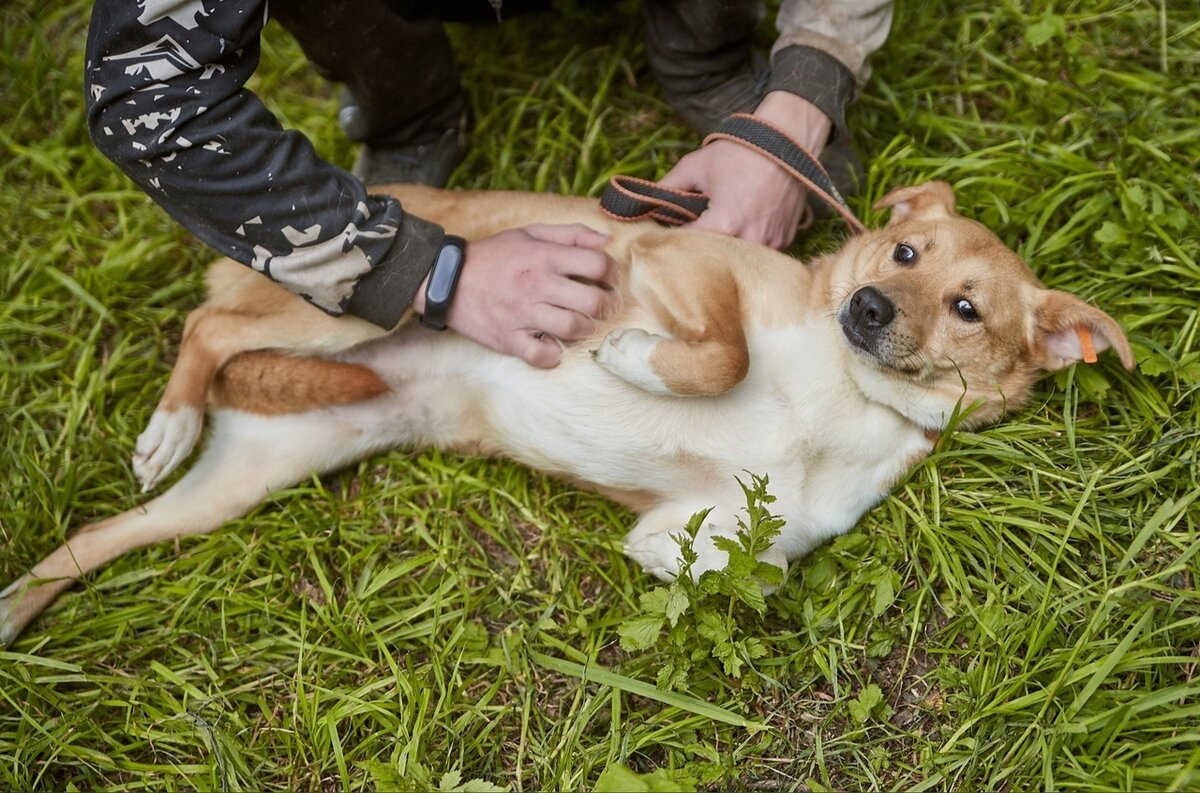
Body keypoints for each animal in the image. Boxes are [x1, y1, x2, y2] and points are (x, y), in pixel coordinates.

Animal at [0, 181, 1132, 643]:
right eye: (901, 252)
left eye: (967, 307)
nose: (866, 308)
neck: (842, 392)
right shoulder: (675, 261)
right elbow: (718, 353)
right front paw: (632, 357)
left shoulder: (717, 531)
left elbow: (745, 566)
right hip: (348, 305)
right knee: (207, 327)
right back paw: (171, 418)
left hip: (249, 478)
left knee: (98, 536)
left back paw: (17, 603)